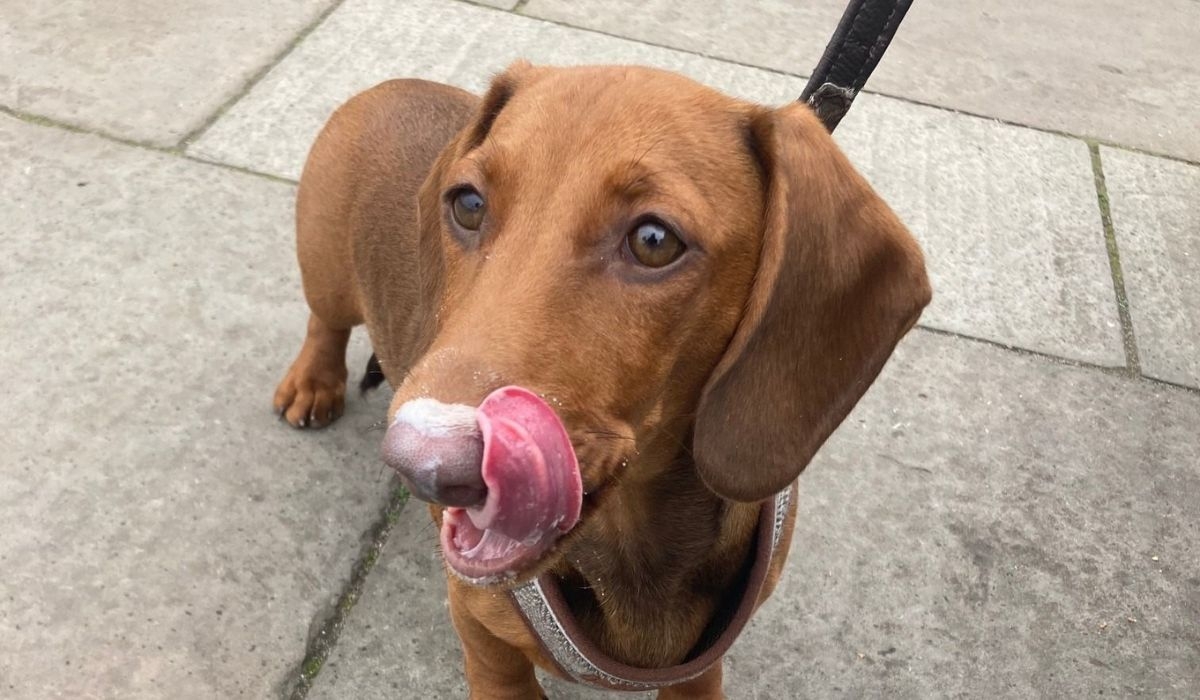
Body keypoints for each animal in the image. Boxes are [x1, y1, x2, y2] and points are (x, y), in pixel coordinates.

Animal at [276, 63, 931, 696]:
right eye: (467, 205)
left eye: (654, 240)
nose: (421, 465)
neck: (632, 541)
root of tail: (390, 86)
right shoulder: (481, 631)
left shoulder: (698, 669)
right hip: (327, 273)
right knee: (323, 322)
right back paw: (312, 382)